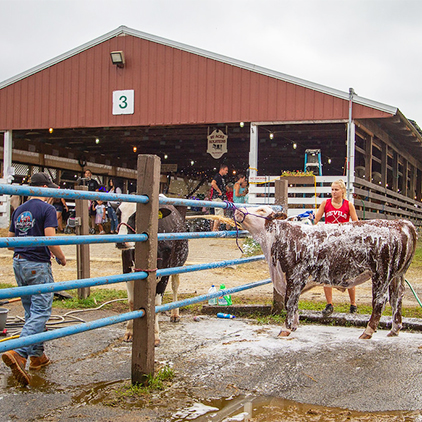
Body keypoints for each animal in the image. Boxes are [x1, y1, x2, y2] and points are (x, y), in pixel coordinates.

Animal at [115, 202, 188, 346]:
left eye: (137, 215)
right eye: (117, 213)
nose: (121, 241)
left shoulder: (164, 271)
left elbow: (156, 303)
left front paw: (154, 335)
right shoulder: (127, 269)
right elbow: (131, 302)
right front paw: (130, 331)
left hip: (177, 263)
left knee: (175, 286)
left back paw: (175, 314)